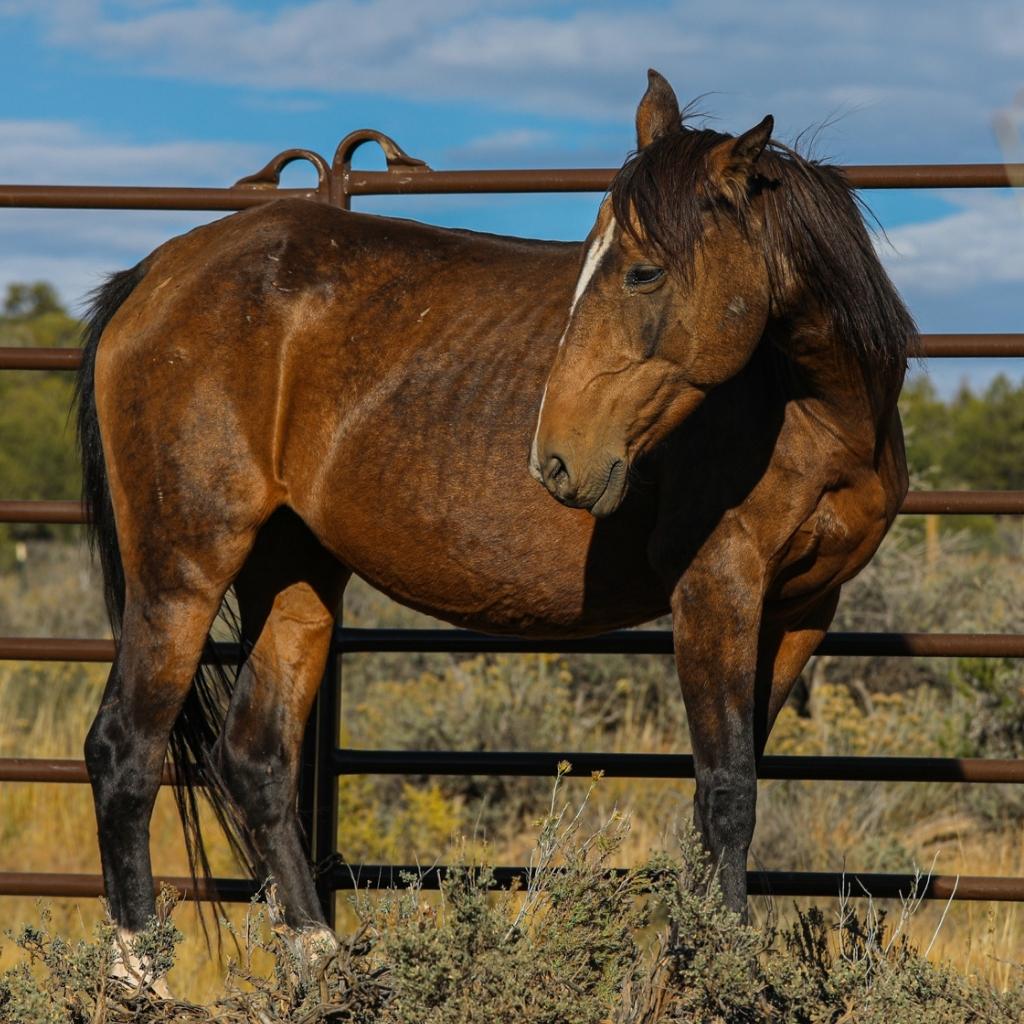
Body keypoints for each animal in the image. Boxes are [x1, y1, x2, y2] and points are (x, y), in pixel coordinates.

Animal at [75, 70, 913, 966]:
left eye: (644, 273)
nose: (557, 458)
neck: (810, 411)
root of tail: (155, 274)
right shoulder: (715, 592)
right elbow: (726, 794)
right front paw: (714, 970)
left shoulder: (799, 612)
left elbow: (724, 796)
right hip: (182, 571)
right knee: (124, 751)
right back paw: (140, 971)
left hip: (293, 573)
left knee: (255, 758)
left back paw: (322, 964)